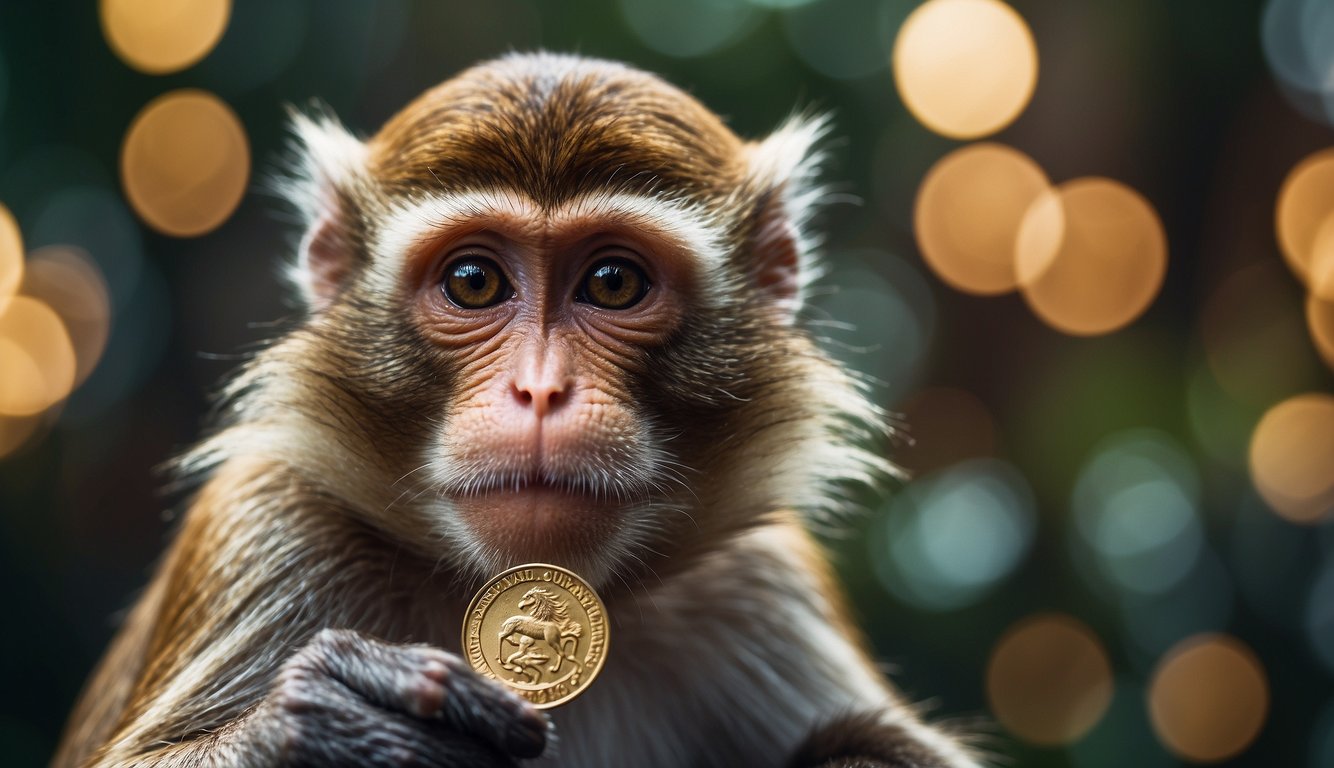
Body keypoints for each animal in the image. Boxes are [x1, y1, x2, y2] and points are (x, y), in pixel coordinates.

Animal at [52, 54, 987, 768]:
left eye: (613, 282)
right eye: (474, 281)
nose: (539, 390)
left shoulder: (761, 589)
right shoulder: (269, 530)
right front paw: (326, 725)